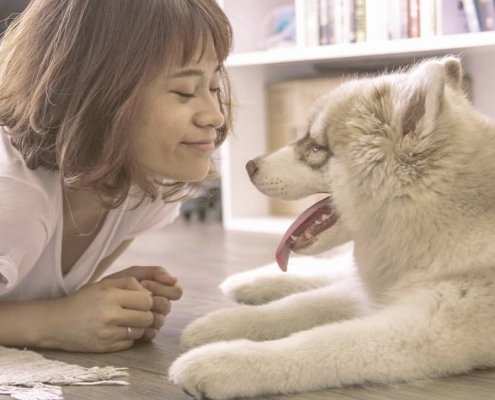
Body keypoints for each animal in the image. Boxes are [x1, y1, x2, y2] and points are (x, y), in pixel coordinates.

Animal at [170, 57, 495, 400]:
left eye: (315, 147)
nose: (248, 166)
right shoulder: (372, 295)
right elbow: (299, 305)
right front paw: (221, 324)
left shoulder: (424, 328)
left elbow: (316, 343)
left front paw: (222, 361)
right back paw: (248, 281)